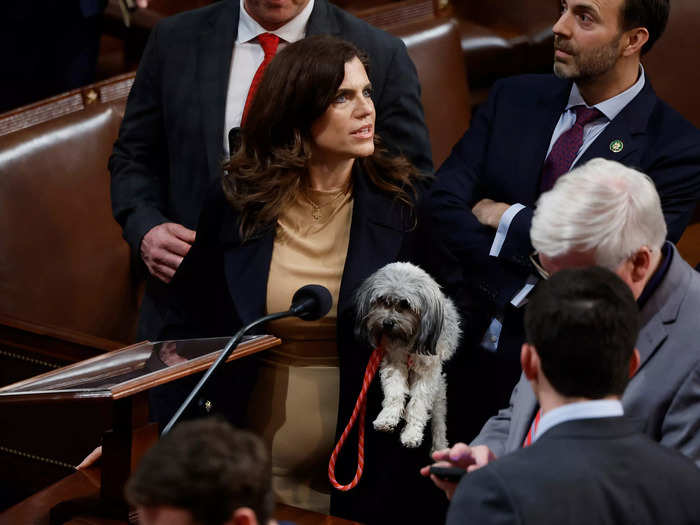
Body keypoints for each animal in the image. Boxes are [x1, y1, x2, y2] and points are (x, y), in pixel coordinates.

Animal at [356, 262, 460, 450]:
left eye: (405, 304)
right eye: (382, 300)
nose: (387, 323)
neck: (409, 342)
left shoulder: (428, 374)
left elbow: (418, 404)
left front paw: (412, 434)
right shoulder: (394, 363)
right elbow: (394, 393)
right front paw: (387, 418)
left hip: (439, 392)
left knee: (438, 422)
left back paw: (440, 447)